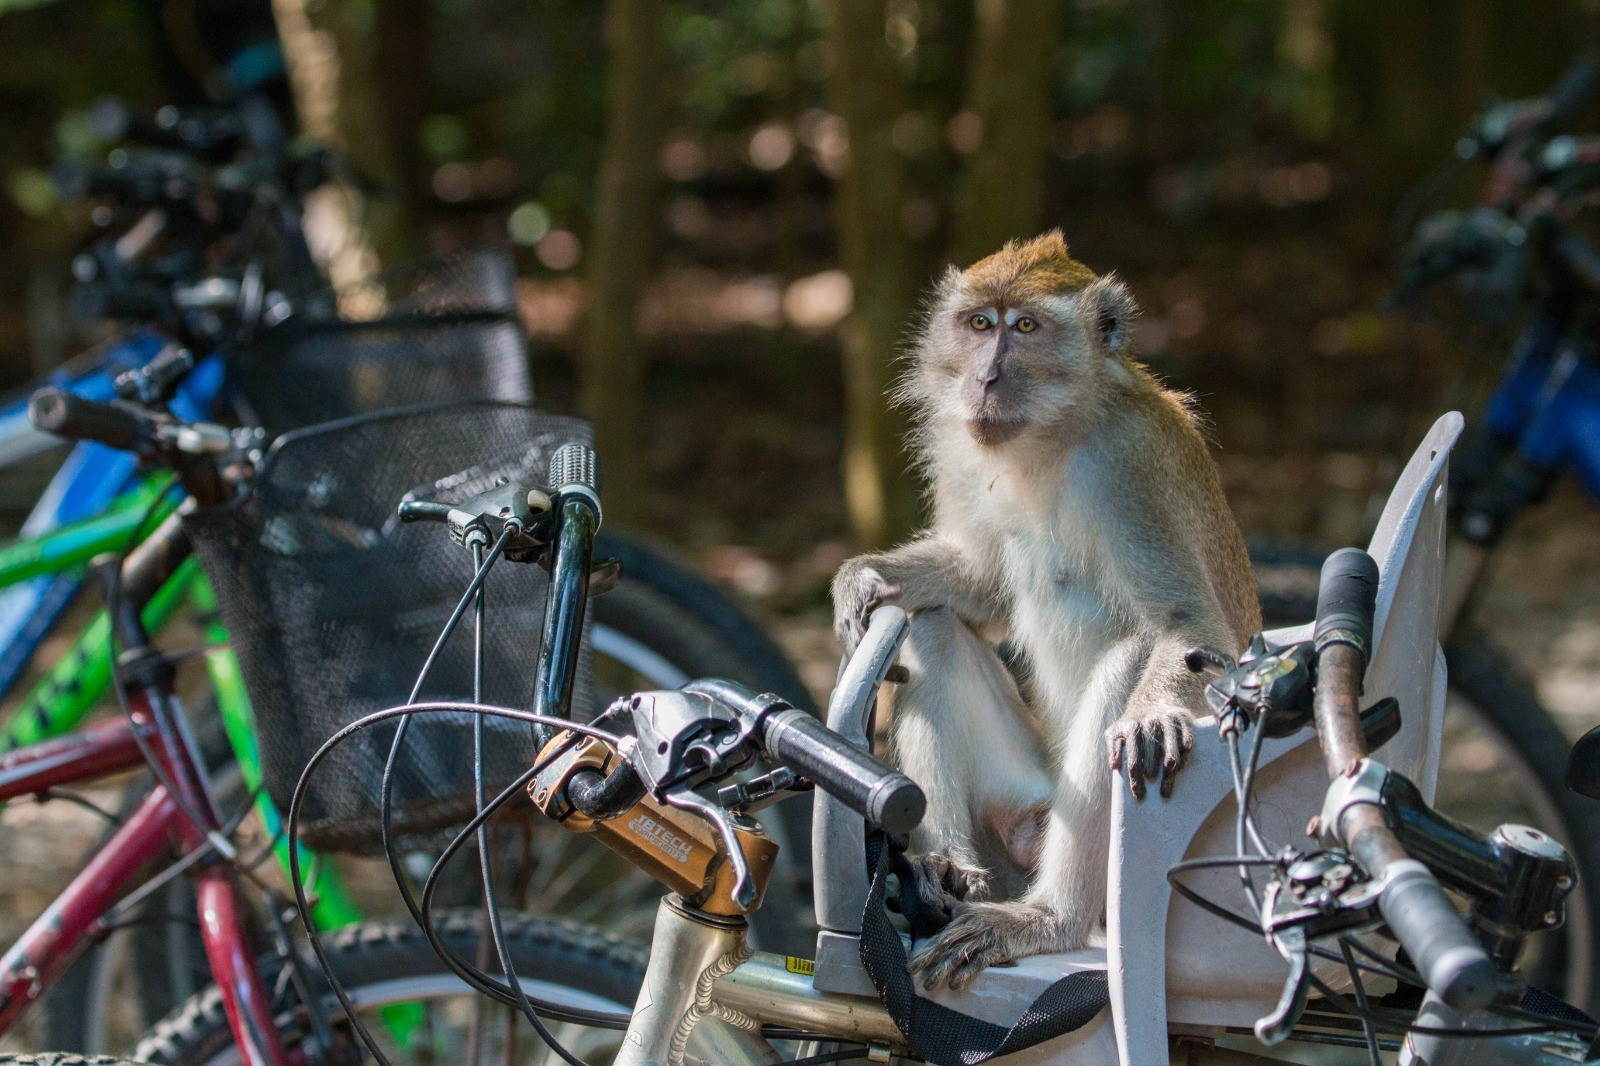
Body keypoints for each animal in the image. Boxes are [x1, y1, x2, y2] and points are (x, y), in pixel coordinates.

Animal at [832, 230, 1254, 985]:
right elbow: (983, 588)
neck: (1049, 438)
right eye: (979, 323)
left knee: (1129, 659)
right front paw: (861, 580)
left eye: (1025, 327)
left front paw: (1152, 713)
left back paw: (1049, 918)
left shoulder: (1133, 463)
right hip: (1023, 800)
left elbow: (1190, 628)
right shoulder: (962, 449)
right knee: (933, 631)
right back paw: (948, 867)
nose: (984, 380)